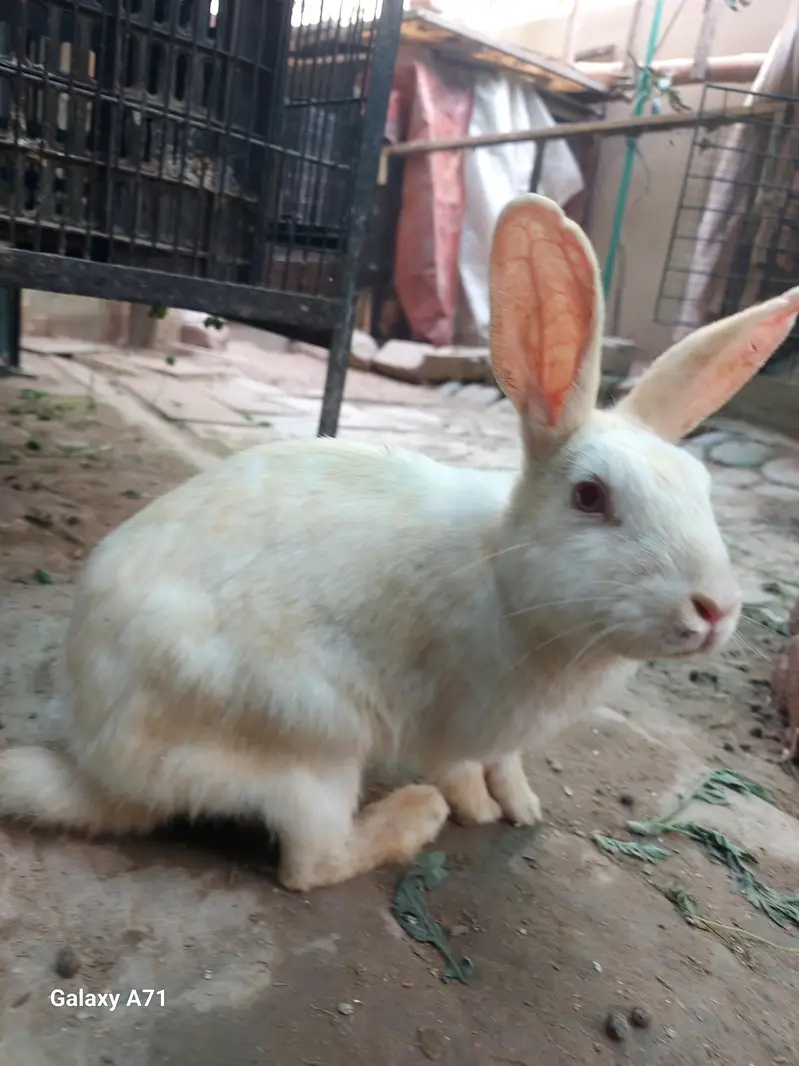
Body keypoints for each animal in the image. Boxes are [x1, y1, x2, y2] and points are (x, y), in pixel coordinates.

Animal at [1, 195, 797, 893]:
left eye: (702, 487)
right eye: (591, 496)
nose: (714, 610)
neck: (508, 577)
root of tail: (101, 767)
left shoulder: (506, 734)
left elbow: (508, 765)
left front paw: (525, 805)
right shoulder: (452, 724)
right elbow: (460, 769)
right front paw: (477, 809)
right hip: (310, 743)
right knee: (310, 864)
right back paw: (415, 816)